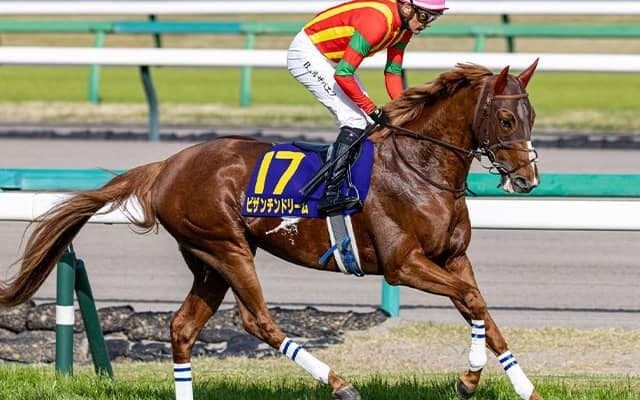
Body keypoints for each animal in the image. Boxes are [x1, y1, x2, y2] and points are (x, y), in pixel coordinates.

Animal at [0, 61, 542, 400]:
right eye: (506, 118)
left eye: (532, 115)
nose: (527, 179)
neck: (420, 167)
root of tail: (166, 165)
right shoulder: (403, 264)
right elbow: (471, 302)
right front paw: (468, 380)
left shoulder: (453, 258)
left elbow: (481, 308)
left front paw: (522, 387)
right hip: (227, 246)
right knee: (257, 319)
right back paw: (340, 383)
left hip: (208, 262)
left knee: (182, 327)